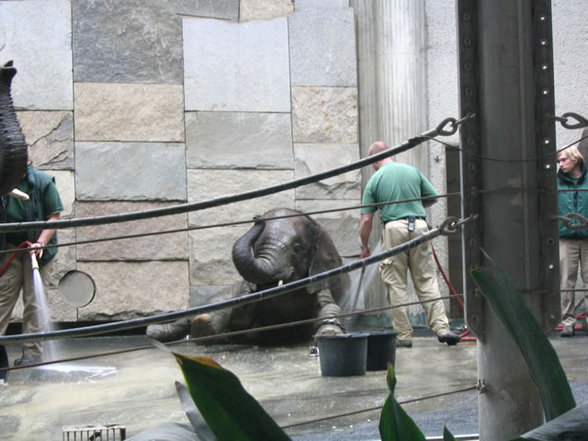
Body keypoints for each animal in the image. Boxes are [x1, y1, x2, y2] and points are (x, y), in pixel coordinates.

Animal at [147, 208, 350, 346]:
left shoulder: (320, 277)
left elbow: (329, 307)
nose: (257, 218)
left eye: (297, 248)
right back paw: (155, 331)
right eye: (257, 246)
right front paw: (205, 326)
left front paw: (329, 333)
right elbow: (233, 305)